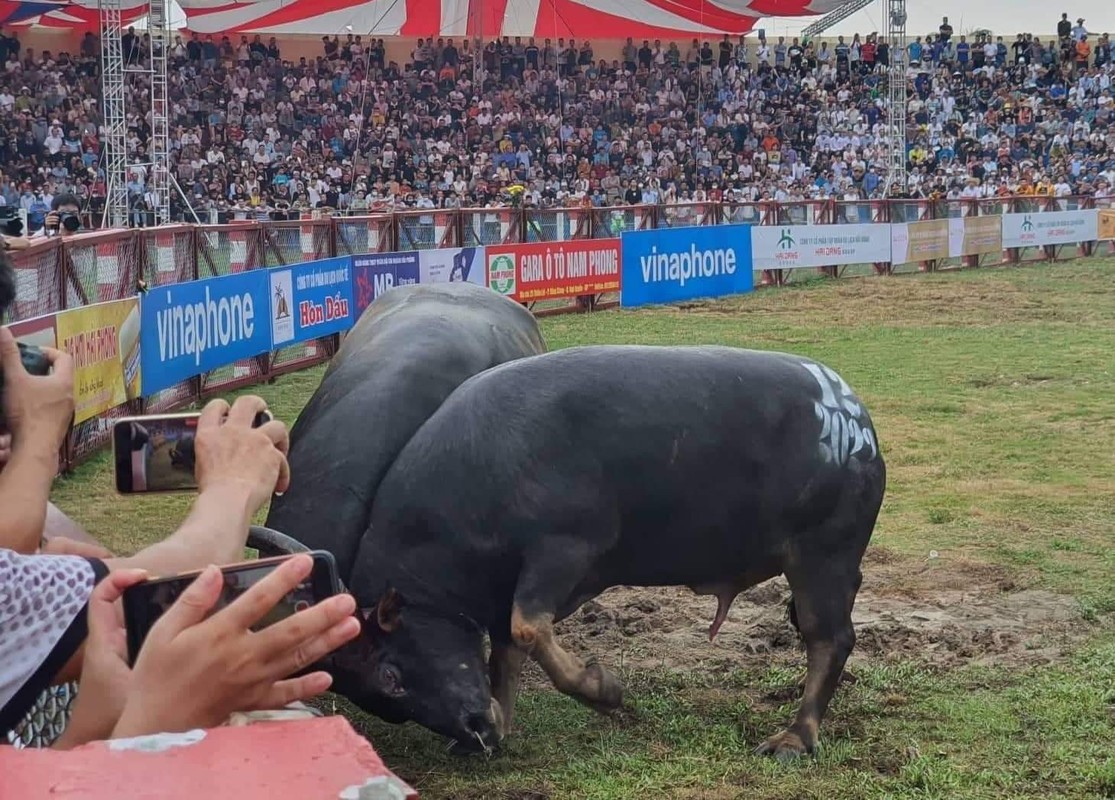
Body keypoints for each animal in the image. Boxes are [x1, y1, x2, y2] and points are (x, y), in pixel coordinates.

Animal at [334, 343, 883, 754]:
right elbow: (504, 654)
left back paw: (794, 738)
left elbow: (527, 628)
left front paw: (606, 691)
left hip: (824, 555)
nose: (476, 731)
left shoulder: (564, 550)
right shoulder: (502, 588)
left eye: (391, 674)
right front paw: (503, 721)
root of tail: (855, 416)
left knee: (830, 639)